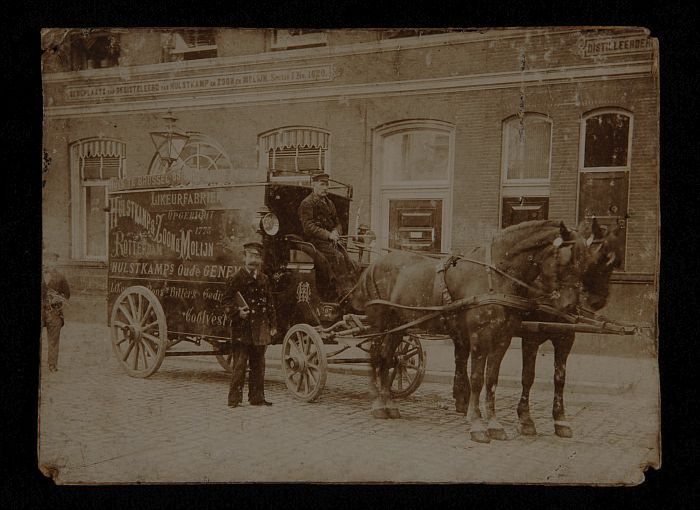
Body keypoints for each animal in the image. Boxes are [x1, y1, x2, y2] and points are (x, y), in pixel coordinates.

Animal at [352, 220, 588, 443]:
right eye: (567, 259)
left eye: (585, 261)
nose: (569, 306)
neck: (495, 278)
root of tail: (374, 265)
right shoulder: (479, 338)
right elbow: (477, 378)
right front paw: (477, 425)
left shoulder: (503, 339)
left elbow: (491, 379)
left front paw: (494, 424)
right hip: (380, 324)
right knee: (377, 357)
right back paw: (378, 404)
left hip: (399, 326)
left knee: (388, 358)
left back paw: (389, 405)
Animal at [515, 218, 626, 438]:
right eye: (601, 258)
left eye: (616, 263)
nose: (598, 300)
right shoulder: (530, 337)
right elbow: (528, 376)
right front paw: (525, 419)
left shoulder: (565, 338)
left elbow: (560, 378)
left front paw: (560, 420)